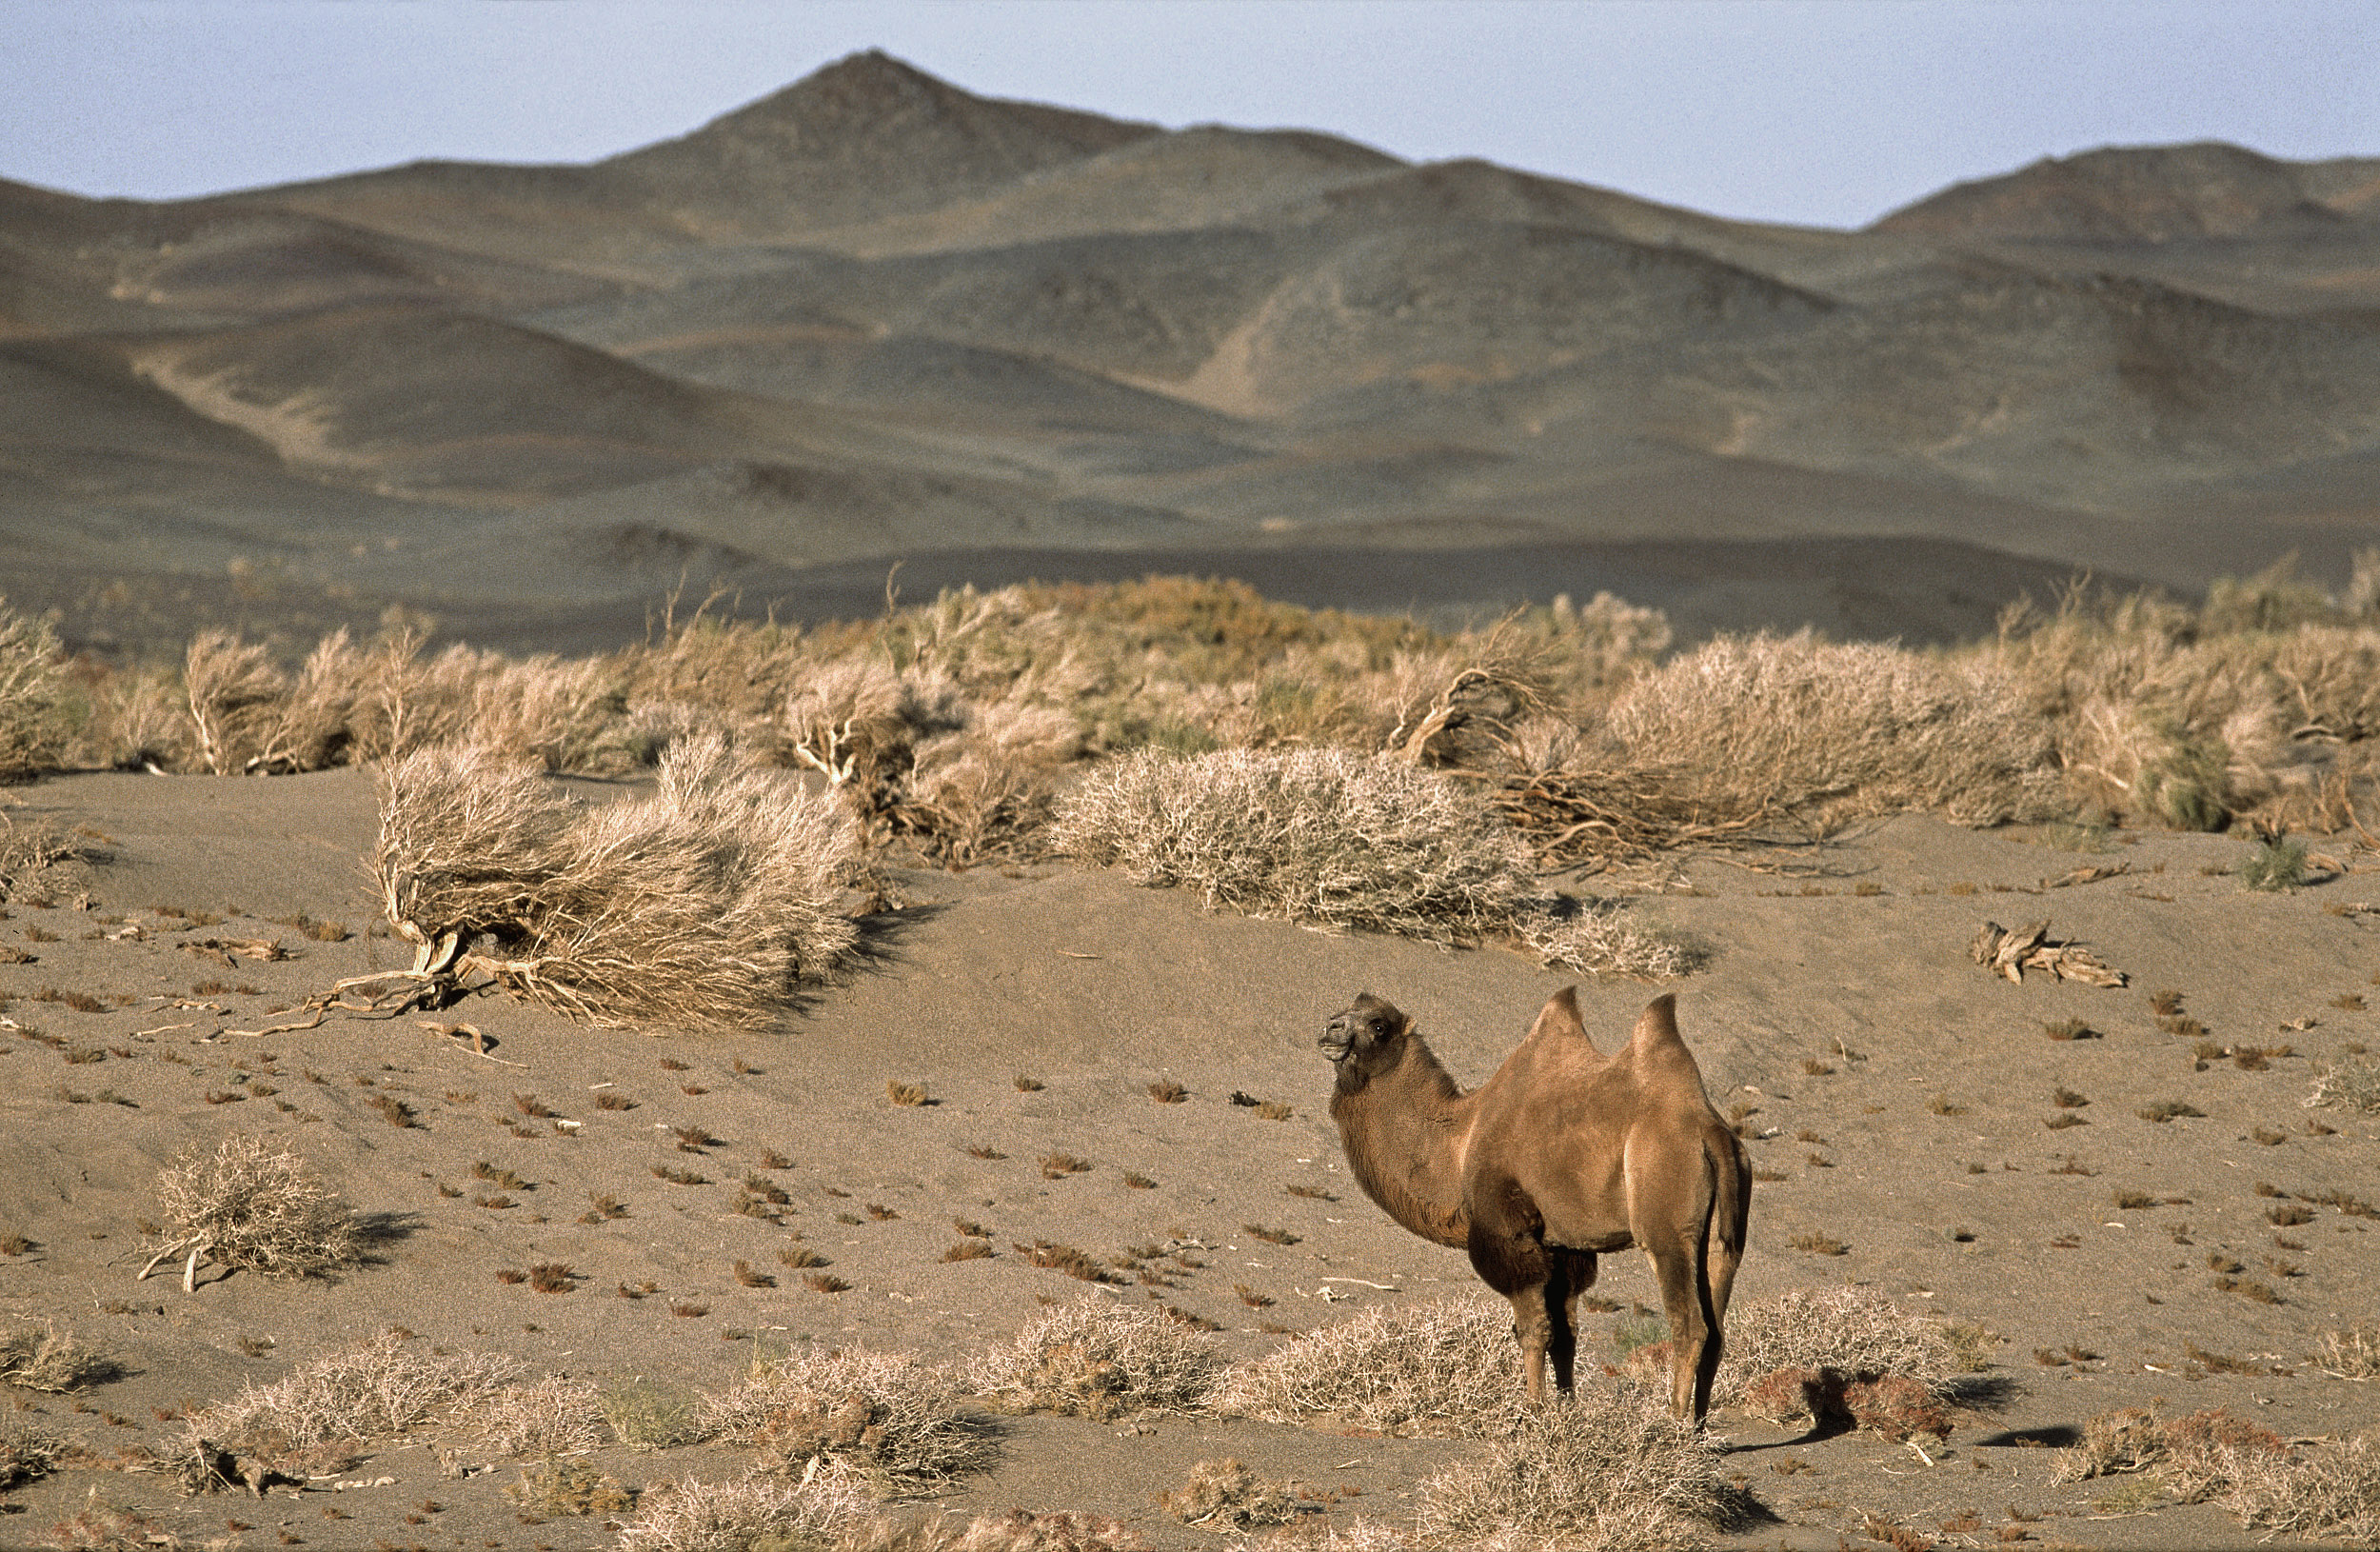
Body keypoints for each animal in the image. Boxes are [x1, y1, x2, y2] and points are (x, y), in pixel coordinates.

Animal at [1323, 990, 1752, 1428]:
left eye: (1378, 1025)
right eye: (1342, 1012)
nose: (1330, 1029)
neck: (1461, 1142)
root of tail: (1711, 1130)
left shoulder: (1508, 1231)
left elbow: (1532, 1329)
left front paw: (1534, 1411)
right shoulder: (1563, 1245)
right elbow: (1565, 1334)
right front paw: (1566, 1409)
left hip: (1665, 1224)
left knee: (1690, 1326)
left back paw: (1674, 1425)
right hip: (1725, 1235)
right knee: (1717, 1327)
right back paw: (1698, 1429)